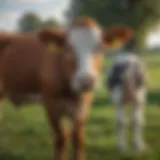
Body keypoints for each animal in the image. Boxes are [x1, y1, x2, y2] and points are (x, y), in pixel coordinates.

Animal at [0, 16, 133, 159]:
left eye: (99, 48)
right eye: (68, 49)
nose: (86, 81)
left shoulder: (83, 106)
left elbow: (78, 139)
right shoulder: (51, 104)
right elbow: (61, 138)